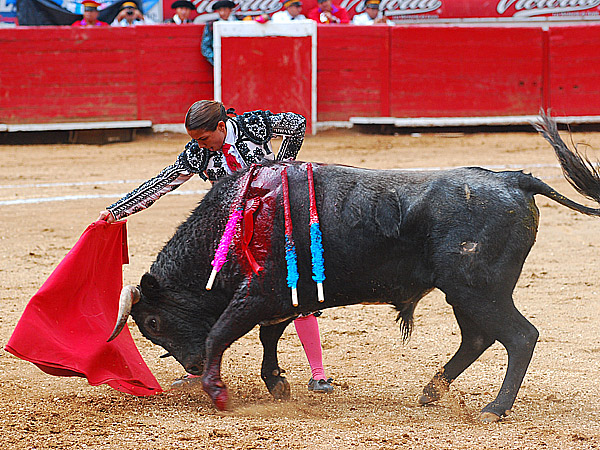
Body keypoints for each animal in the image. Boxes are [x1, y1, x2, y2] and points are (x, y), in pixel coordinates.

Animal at [110, 115, 600, 422]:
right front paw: (277, 384)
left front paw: (219, 392)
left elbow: (221, 332)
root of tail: (512, 178)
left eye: (152, 322)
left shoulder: (257, 294)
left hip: (480, 289)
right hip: (465, 293)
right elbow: (271, 334)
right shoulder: (286, 295)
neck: (240, 215)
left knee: (520, 336)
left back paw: (493, 409)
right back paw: (432, 390)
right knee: (478, 337)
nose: (192, 367)